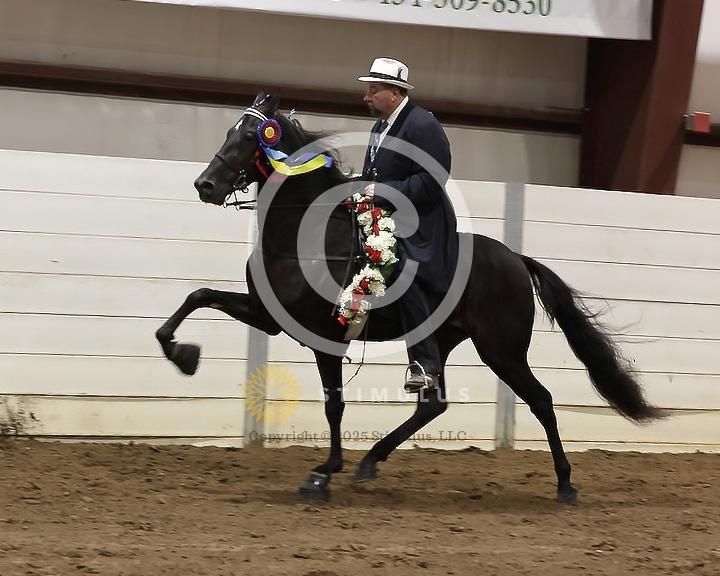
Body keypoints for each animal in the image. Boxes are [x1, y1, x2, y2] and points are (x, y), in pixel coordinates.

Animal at [156, 92, 661, 504]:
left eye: (248, 137)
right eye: (229, 131)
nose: (205, 185)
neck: (306, 238)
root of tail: (515, 259)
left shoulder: (323, 337)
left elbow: (334, 404)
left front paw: (323, 474)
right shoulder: (268, 316)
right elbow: (198, 295)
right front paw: (183, 355)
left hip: (502, 349)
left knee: (541, 400)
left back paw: (565, 484)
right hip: (443, 341)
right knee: (433, 403)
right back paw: (371, 461)